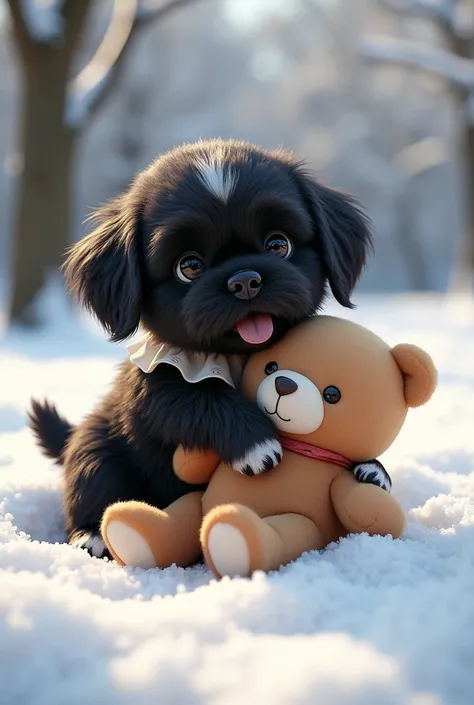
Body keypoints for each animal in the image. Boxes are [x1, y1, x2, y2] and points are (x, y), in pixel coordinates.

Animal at [29, 139, 372, 556]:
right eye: (189, 266)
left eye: (279, 244)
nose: (245, 280)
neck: (235, 357)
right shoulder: (151, 388)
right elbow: (198, 396)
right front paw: (256, 444)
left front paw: (372, 470)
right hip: (95, 445)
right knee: (94, 480)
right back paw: (91, 534)